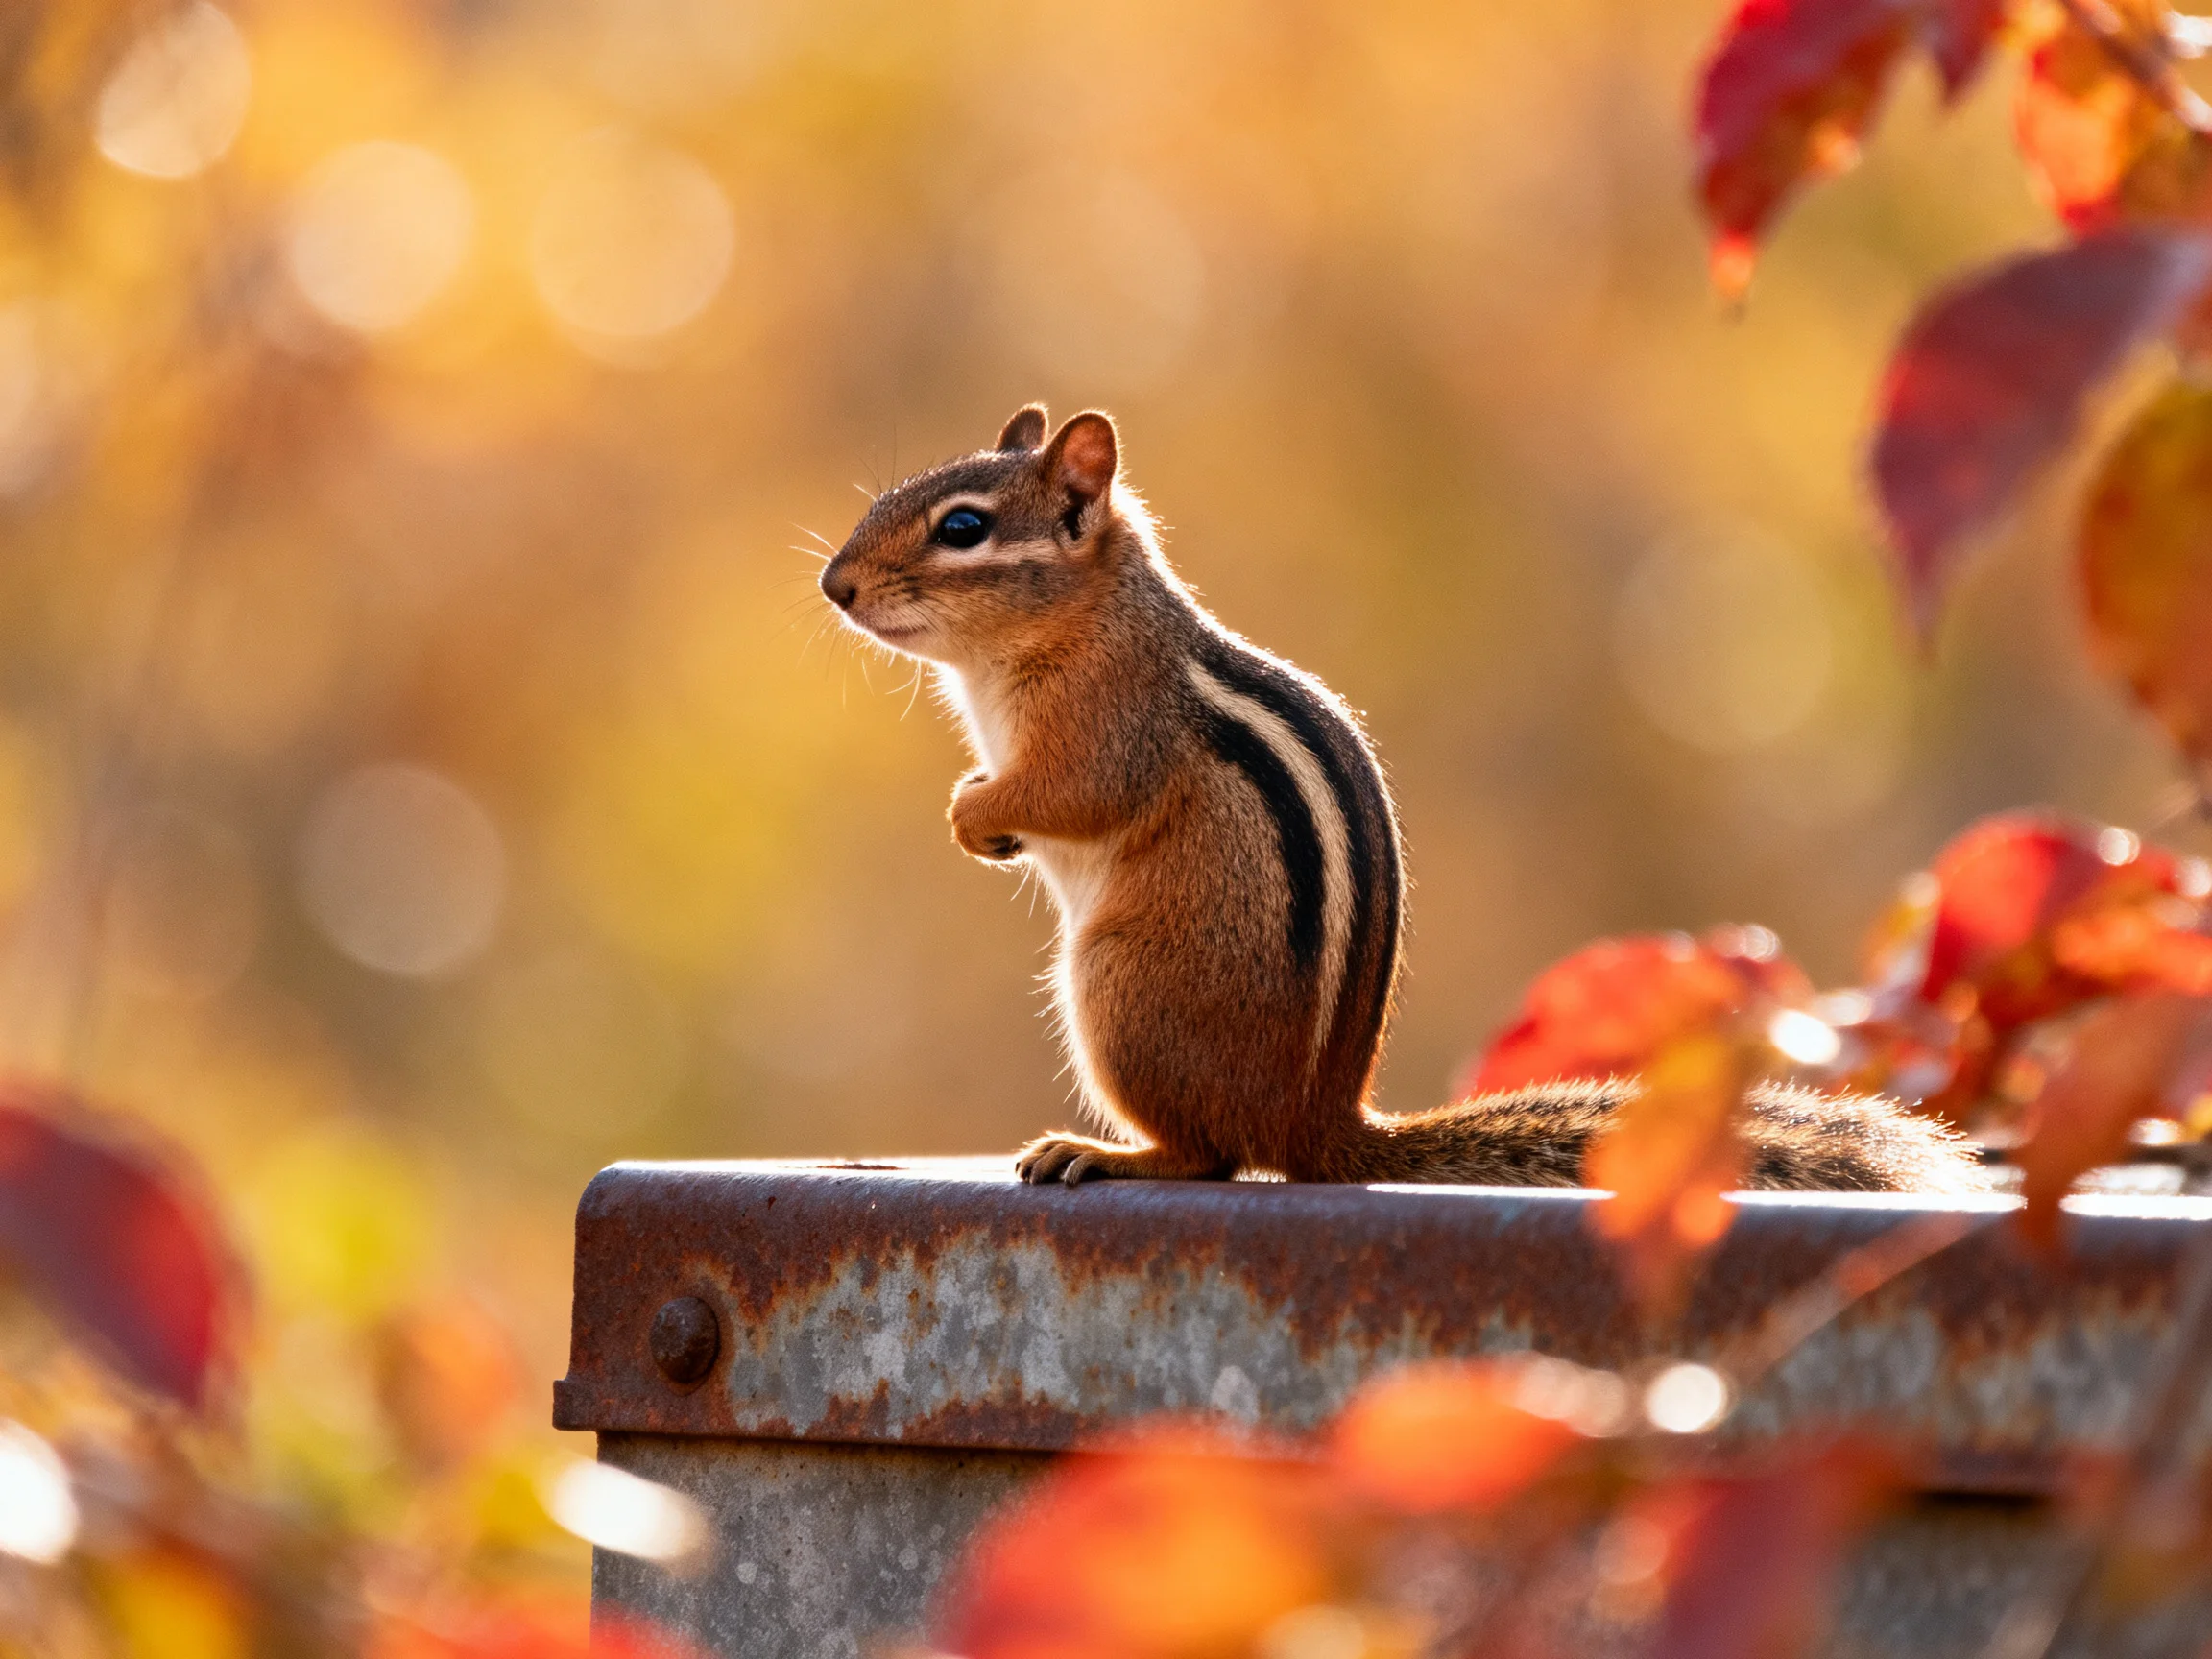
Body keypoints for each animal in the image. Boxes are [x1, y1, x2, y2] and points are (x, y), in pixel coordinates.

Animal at [819, 406, 1991, 1196]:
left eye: (962, 528)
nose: (835, 585)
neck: (1075, 621)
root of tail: (1321, 1123)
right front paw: (977, 811)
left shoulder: (1112, 724)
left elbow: (1076, 791)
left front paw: (977, 814)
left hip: (1118, 988)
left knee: (1210, 1157)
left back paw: (1104, 1152)